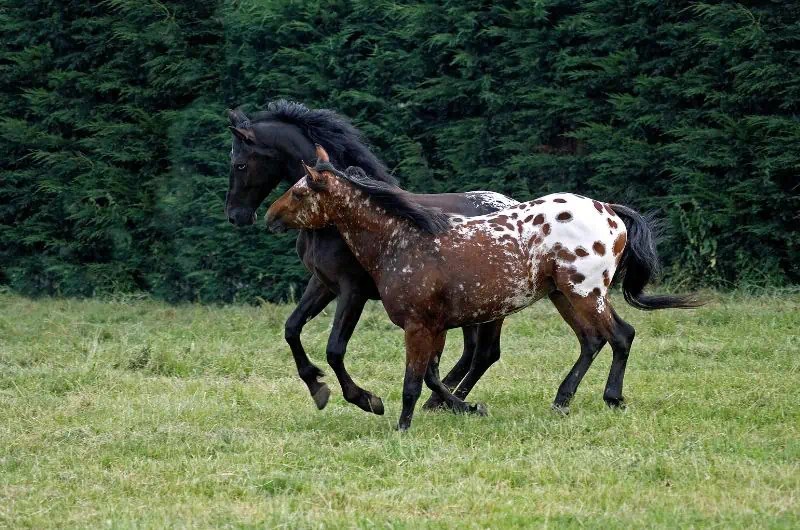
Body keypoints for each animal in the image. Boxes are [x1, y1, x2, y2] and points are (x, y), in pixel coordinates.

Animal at [225, 101, 518, 414]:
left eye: (239, 164)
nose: (236, 215)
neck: (336, 222)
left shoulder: (353, 290)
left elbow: (334, 348)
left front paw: (365, 399)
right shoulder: (323, 283)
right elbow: (292, 328)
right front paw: (317, 386)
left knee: (485, 353)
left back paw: (448, 401)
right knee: (472, 351)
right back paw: (440, 401)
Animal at [266, 146, 700, 430]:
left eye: (300, 191)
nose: (270, 216)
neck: (402, 242)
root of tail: (610, 212)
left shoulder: (414, 323)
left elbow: (411, 381)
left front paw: (397, 422)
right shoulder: (436, 326)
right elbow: (432, 376)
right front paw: (467, 408)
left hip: (584, 293)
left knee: (616, 336)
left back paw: (602, 398)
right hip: (564, 296)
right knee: (597, 339)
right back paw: (569, 400)